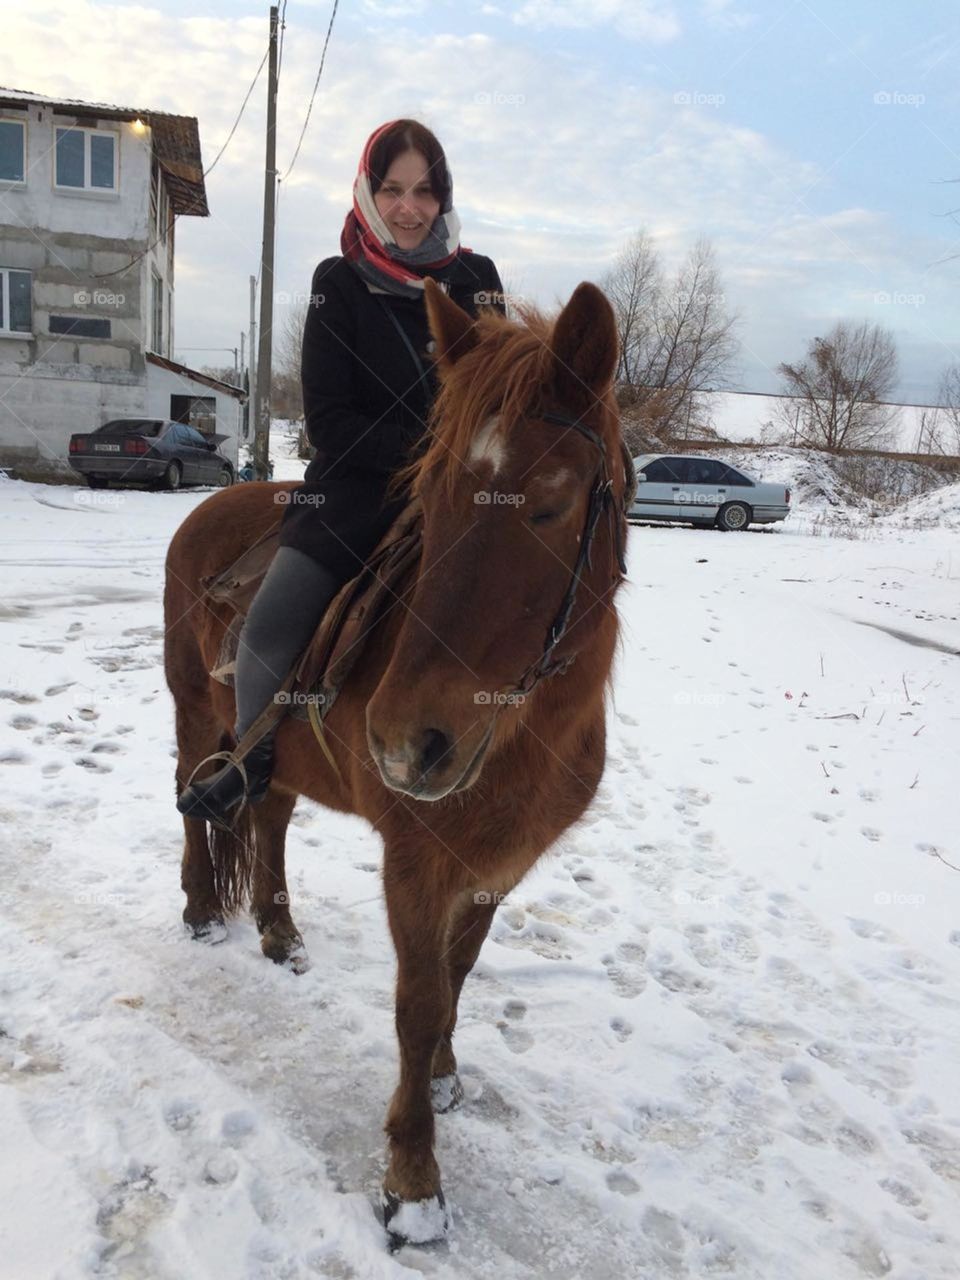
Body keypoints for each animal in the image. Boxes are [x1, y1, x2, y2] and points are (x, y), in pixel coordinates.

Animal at [163, 277, 630, 1244]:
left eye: (552, 505)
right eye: (431, 495)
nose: (409, 742)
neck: (522, 734)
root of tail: (205, 509)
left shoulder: (497, 866)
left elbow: (458, 977)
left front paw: (448, 1081)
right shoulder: (417, 863)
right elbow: (417, 1004)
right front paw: (413, 1185)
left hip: (275, 753)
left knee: (269, 814)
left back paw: (279, 931)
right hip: (194, 716)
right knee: (192, 803)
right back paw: (201, 912)